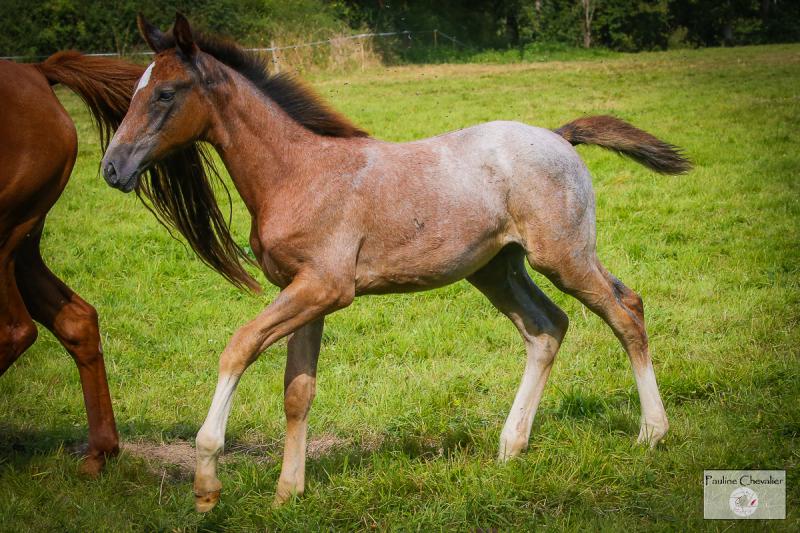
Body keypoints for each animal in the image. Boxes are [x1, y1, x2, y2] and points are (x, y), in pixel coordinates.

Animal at [0, 50, 213, 475]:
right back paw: (99, 453)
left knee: (17, 330)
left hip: (5, 238)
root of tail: (36, 72)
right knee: (75, 320)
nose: (114, 168)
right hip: (22, 249)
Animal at [101, 14, 691, 511]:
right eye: (134, 91)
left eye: (165, 93)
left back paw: (652, 433)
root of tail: (559, 137)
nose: (112, 168)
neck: (297, 172)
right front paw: (289, 493)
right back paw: (510, 446)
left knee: (625, 312)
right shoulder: (304, 293)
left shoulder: (324, 288)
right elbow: (298, 391)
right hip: (497, 268)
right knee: (549, 326)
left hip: (562, 256)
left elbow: (240, 346)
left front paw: (207, 480)